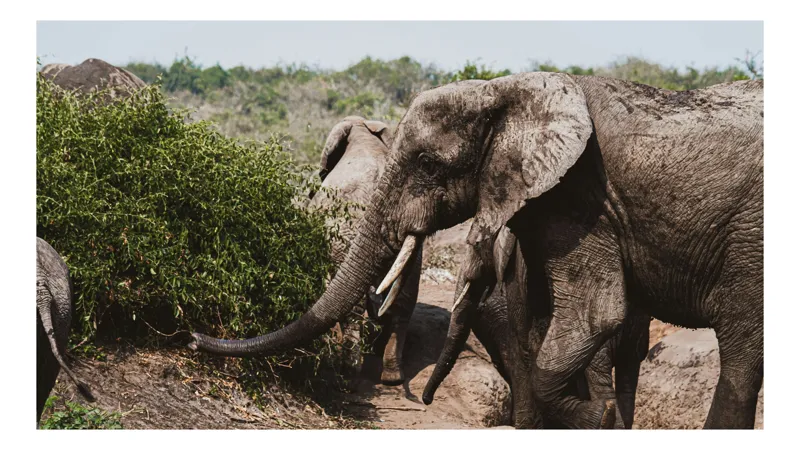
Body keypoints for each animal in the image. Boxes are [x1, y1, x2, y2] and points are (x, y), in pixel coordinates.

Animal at [193, 116, 422, 386]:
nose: (193, 340)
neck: (363, 131)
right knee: (403, 296)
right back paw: (391, 376)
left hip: (344, 231)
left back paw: (348, 374)